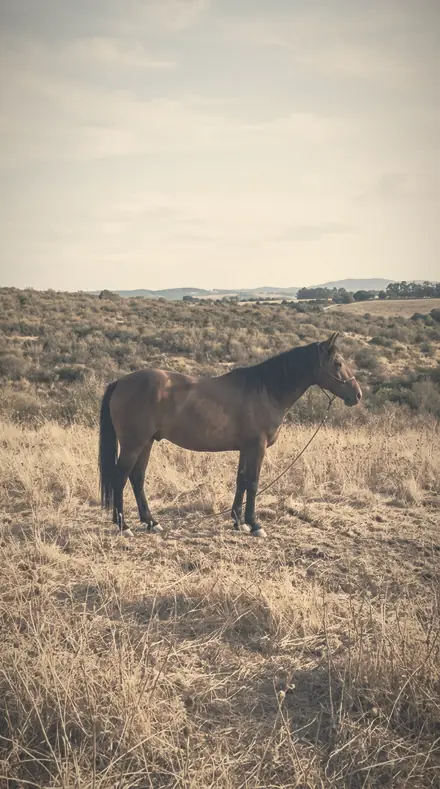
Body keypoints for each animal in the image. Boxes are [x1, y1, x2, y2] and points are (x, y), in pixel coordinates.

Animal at [99, 332, 362, 538]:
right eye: (338, 363)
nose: (357, 395)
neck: (266, 390)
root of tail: (121, 381)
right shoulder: (257, 447)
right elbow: (253, 483)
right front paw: (255, 525)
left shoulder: (246, 448)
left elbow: (241, 481)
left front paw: (238, 522)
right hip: (133, 444)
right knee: (120, 478)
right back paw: (124, 526)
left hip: (146, 443)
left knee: (137, 478)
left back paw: (151, 522)